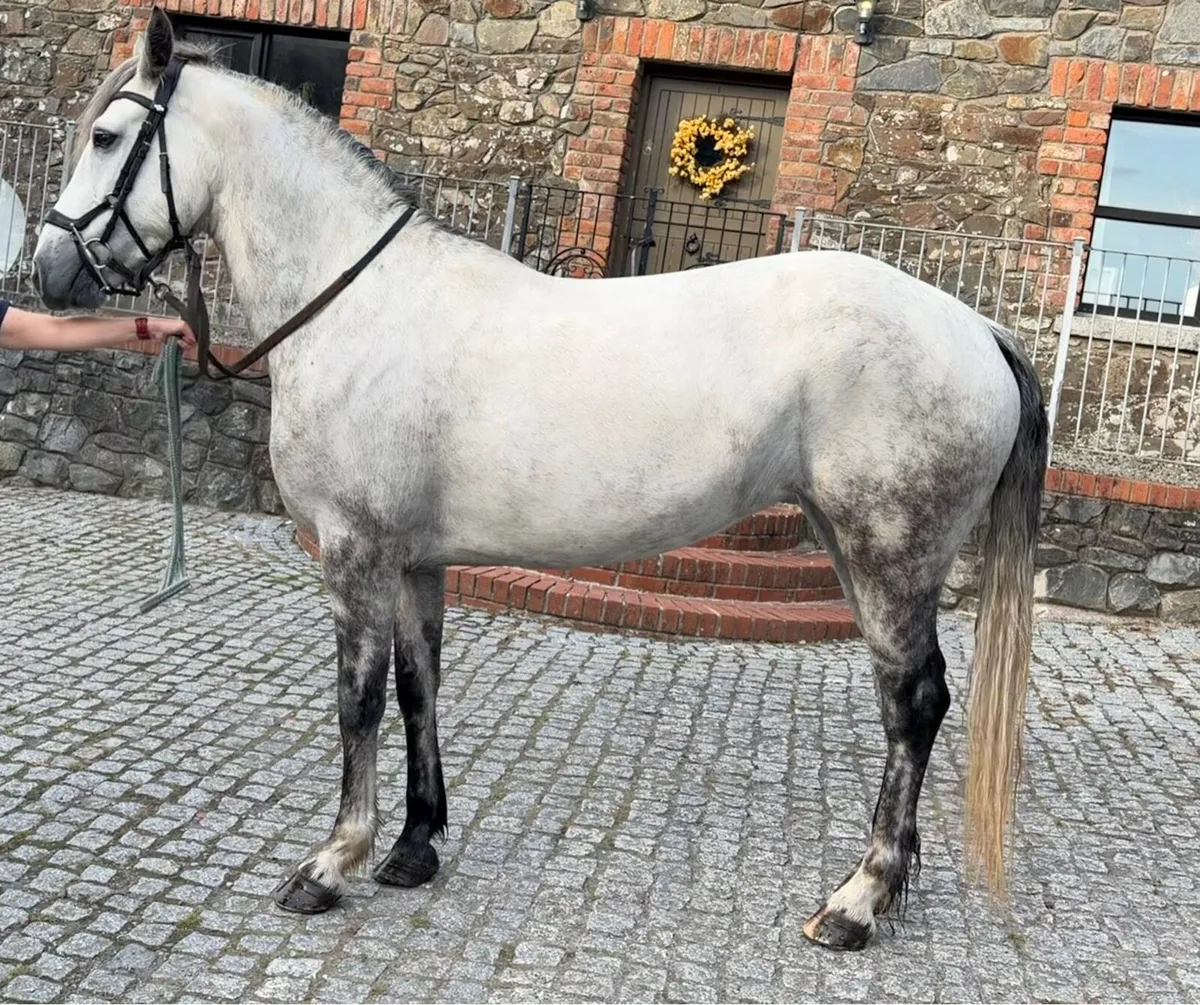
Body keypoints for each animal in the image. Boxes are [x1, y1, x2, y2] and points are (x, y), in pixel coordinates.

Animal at [33, 8, 1047, 952]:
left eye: (107, 138)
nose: (49, 271)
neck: (359, 303)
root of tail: (974, 326)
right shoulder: (417, 560)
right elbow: (419, 687)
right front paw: (413, 847)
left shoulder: (356, 550)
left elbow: (358, 701)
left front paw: (331, 862)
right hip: (848, 545)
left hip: (889, 555)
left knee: (915, 703)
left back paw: (857, 902)